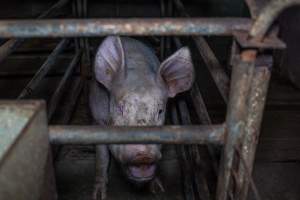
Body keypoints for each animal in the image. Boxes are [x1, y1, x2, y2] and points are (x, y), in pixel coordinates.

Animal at [88, 36, 195, 200]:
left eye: (160, 111)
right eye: (120, 108)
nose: (143, 156)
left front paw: (158, 190)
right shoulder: (97, 120)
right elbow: (102, 158)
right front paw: (98, 195)